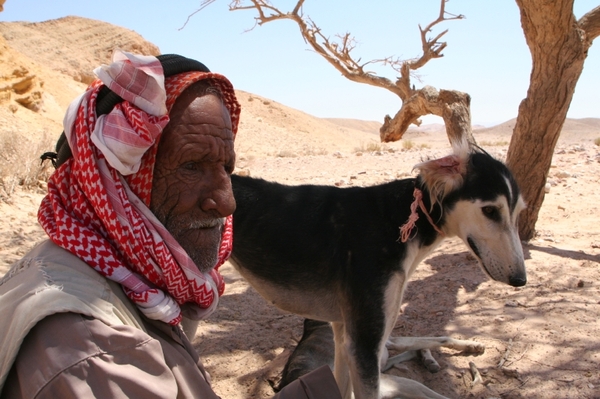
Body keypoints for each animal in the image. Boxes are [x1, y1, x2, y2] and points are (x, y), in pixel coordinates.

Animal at [229, 141, 524, 399]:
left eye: (518, 212)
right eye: (490, 210)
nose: (520, 279)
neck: (396, 220)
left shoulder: (345, 336)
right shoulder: (364, 346)